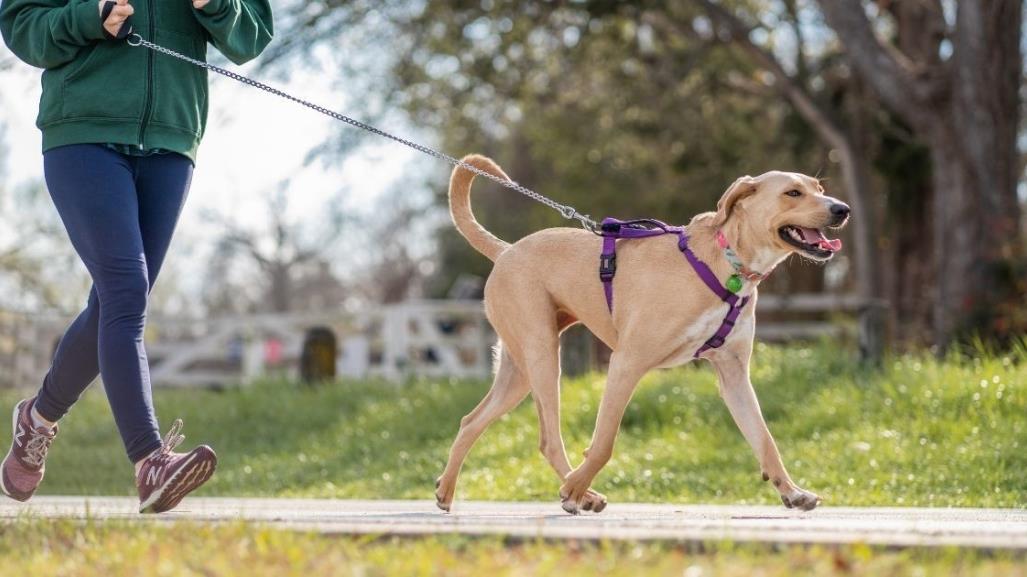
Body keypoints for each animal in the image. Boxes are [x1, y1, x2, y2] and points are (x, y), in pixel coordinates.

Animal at [433, 154, 850, 511]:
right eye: (792, 192)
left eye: (818, 187)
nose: (842, 209)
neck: (728, 264)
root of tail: (505, 251)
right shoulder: (626, 363)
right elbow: (604, 443)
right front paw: (574, 489)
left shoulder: (734, 376)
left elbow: (765, 439)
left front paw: (792, 492)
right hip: (542, 356)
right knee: (548, 439)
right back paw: (579, 492)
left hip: (518, 371)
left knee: (471, 421)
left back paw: (446, 490)